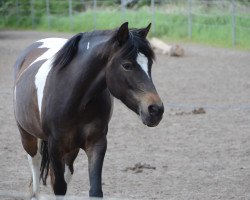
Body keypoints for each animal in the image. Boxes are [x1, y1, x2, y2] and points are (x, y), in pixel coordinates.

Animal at [13, 22, 164, 198]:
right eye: (127, 65)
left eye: (149, 64)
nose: (156, 110)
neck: (75, 100)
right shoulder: (55, 146)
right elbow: (59, 187)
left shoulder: (96, 143)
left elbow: (94, 190)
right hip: (27, 135)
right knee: (35, 166)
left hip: (71, 149)